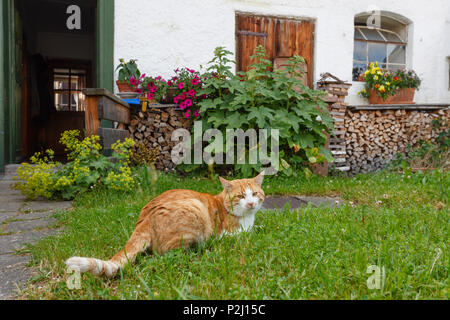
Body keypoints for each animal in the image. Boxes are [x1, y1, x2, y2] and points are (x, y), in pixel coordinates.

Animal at [65, 172, 266, 278]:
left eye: (255, 194)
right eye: (240, 196)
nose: (251, 203)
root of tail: (145, 219)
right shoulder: (227, 234)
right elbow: (246, 234)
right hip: (195, 210)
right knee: (171, 253)